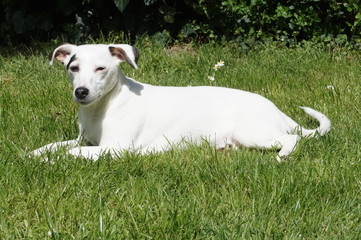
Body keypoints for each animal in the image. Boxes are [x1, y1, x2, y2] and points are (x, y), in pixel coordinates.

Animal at [32, 44, 330, 162]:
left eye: (101, 69)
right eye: (73, 68)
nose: (81, 92)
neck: (103, 106)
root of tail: (276, 110)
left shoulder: (116, 148)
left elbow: (71, 152)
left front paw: (52, 161)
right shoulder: (86, 140)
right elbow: (55, 145)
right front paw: (34, 154)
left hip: (253, 132)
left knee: (292, 139)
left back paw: (283, 156)